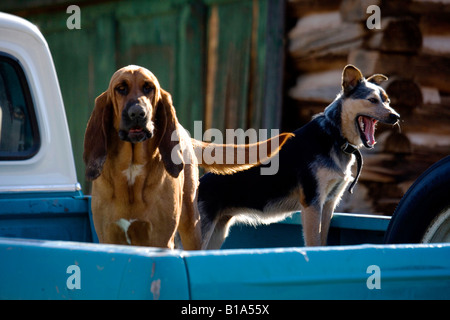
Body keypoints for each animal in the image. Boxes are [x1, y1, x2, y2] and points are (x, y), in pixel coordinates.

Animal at [199, 64, 400, 248]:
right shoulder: (312, 203)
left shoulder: (328, 203)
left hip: (217, 233)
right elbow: (313, 243)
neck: (334, 135)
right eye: (372, 100)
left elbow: (323, 242)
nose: (396, 117)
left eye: (387, 101)